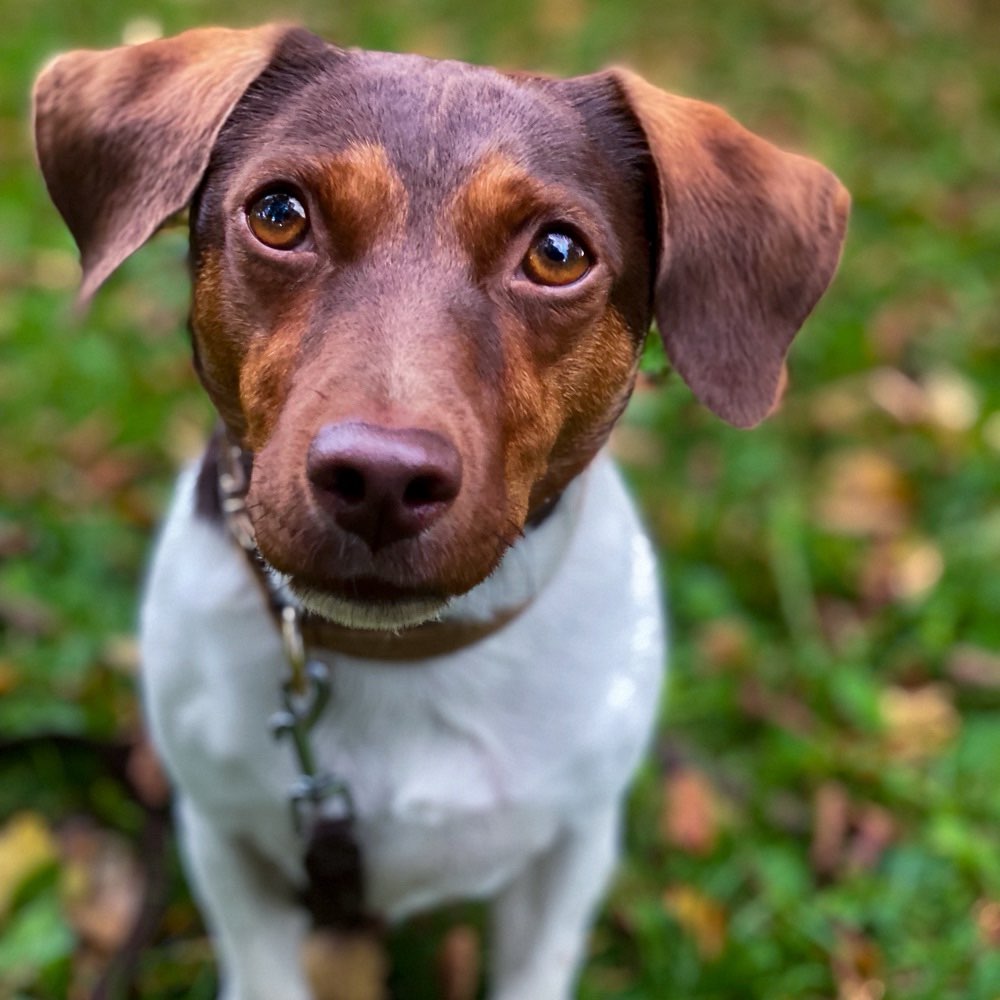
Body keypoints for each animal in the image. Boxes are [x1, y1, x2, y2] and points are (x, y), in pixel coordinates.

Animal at [33, 25, 844, 1000]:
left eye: (559, 253)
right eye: (279, 214)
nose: (380, 479)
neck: (399, 658)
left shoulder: (567, 851)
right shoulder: (225, 838)